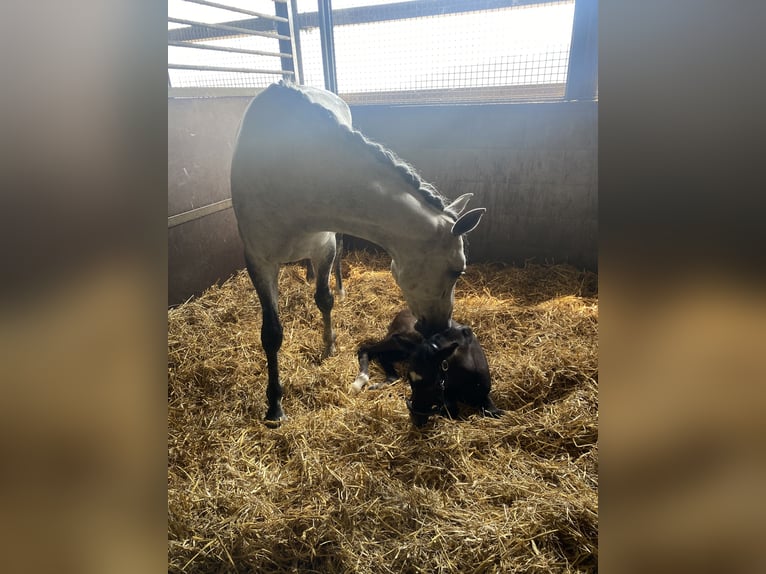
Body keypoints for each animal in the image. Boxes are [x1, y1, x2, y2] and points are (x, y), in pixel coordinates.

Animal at [230, 81, 486, 424]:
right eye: (458, 270)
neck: (297, 172)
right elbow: (271, 334)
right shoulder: (259, 260)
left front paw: (329, 346)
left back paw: (338, 288)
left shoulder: (323, 245)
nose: (441, 327)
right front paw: (274, 405)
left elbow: (323, 298)